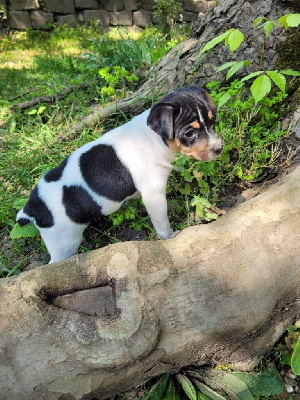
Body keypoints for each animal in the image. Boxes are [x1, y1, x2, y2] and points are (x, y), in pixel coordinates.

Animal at [16, 87, 223, 262]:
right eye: (189, 133)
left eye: (213, 120)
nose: (219, 149)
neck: (154, 138)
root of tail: (32, 208)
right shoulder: (153, 194)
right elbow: (162, 222)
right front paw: (170, 236)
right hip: (63, 243)